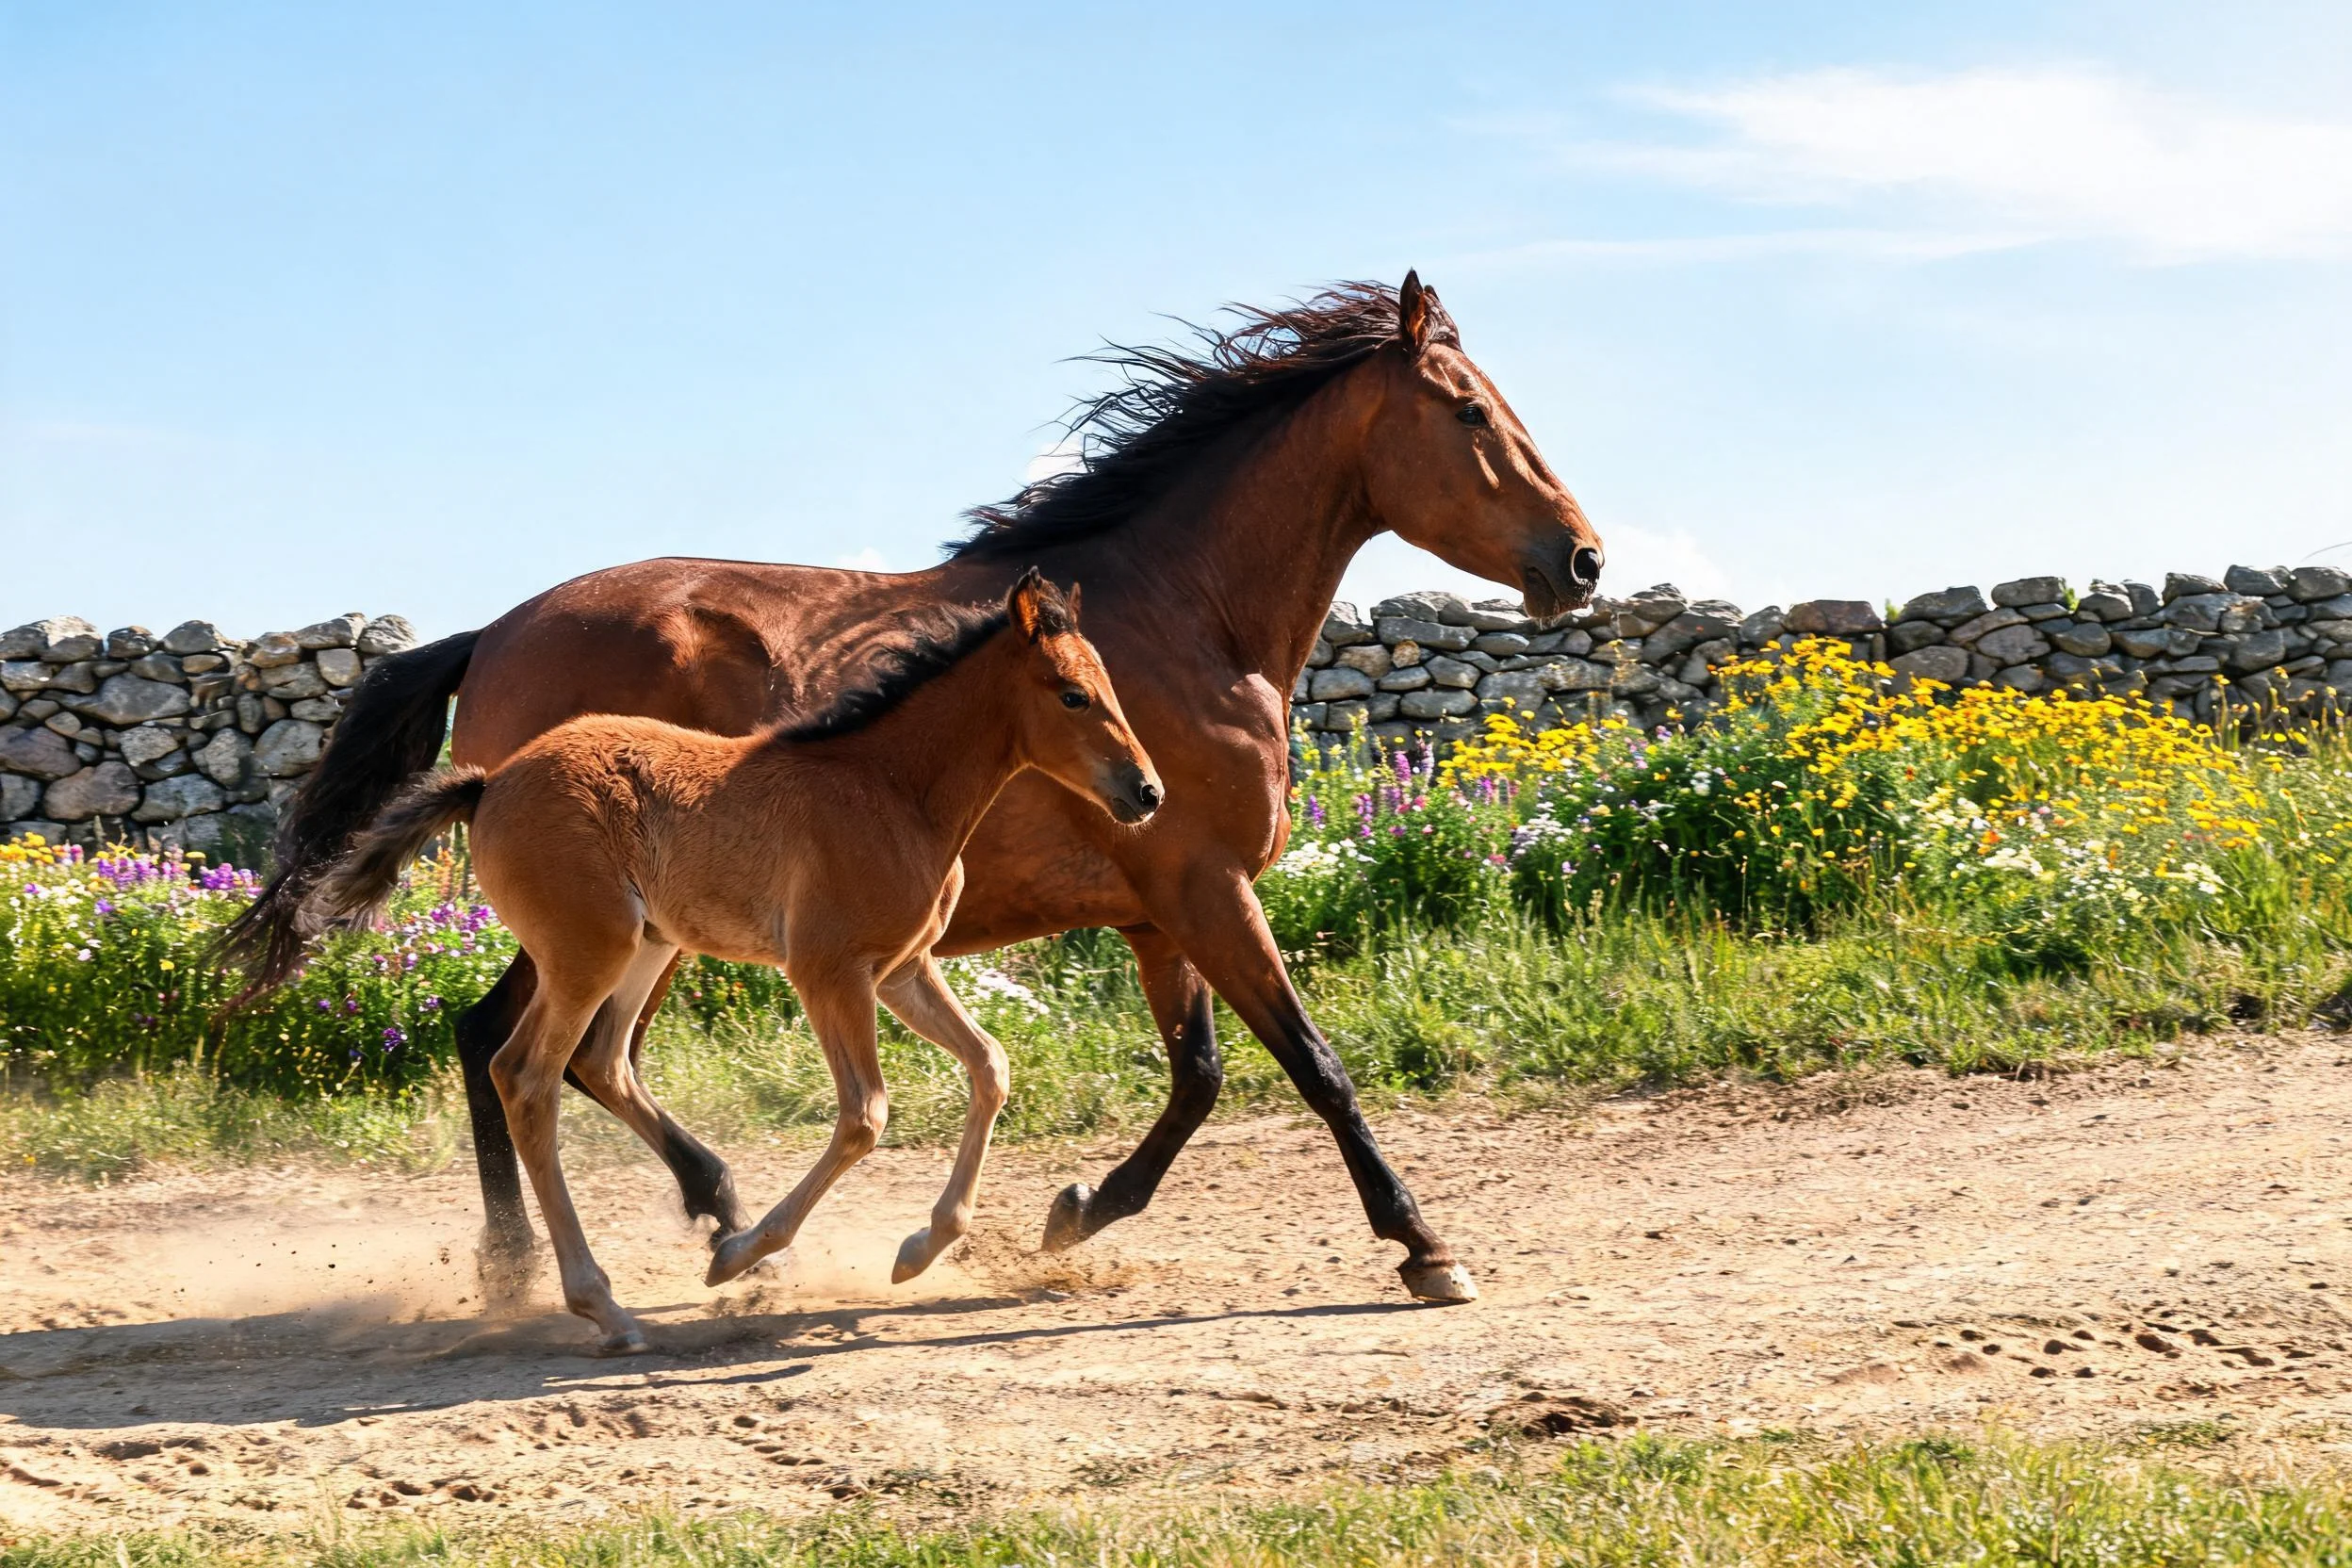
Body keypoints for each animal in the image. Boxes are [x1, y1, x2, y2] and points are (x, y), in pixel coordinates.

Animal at [307, 571, 1159, 1353]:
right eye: (1073, 695)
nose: (1146, 791)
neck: (889, 790)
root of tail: (488, 785)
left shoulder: (903, 970)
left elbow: (990, 1066)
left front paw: (920, 1249)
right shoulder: (828, 971)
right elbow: (865, 1115)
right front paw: (741, 1256)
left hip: (645, 948)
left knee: (599, 1061)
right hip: (588, 955)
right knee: (526, 1077)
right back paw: (602, 1303)